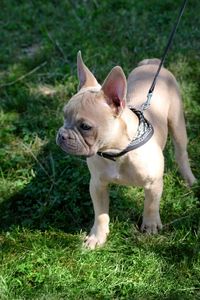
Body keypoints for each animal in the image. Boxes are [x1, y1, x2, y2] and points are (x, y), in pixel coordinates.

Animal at [56, 52, 195, 251]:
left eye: (85, 127)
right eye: (64, 116)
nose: (62, 134)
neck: (117, 152)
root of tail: (151, 63)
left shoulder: (154, 184)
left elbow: (151, 206)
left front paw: (150, 226)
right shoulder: (97, 185)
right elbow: (100, 214)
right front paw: (97, 236)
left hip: (177, 124)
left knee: (181, 153)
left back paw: (190, 179)